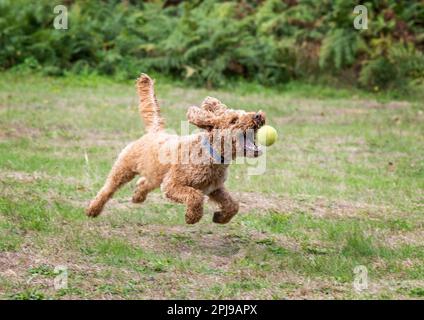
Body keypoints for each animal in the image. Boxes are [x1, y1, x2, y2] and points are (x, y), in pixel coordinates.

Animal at [85, 74, 264, 224]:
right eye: (234, 120)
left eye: (245, 113)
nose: (258, 116)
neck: (210, 155)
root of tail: (155, 131)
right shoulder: (173, 184)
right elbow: (195, 196)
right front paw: (192, 217)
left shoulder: (214, 189)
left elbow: (233, 205)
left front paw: (220, 218)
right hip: (124, 168)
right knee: (108, 189)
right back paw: (92, 210)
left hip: (155, 174)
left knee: (144, 182)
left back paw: (137, 196)